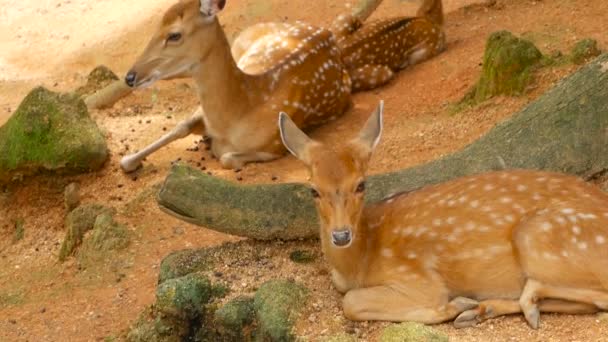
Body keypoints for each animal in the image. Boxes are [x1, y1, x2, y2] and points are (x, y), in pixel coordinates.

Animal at [120, 0, 352, 171]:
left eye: (174, 35)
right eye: (156, 27)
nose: (130, 77)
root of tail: (329, 33)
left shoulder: (276, 144)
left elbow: (226, 158)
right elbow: (180, 127)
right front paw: (128, 159)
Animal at [280, 100, 608, 328]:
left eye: (361, 184)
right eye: (313, 190)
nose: (340, 235)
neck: (361, 261)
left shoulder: (417, 277)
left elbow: (350, 302)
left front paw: (453, 305)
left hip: (541, 236)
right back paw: (481, 311)